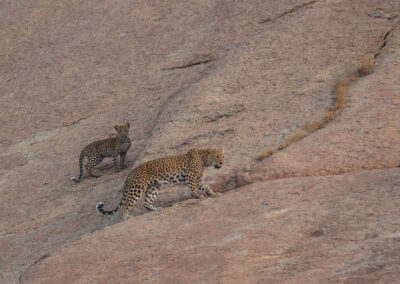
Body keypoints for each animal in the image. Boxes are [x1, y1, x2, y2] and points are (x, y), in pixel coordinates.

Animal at [95, 148, 223, 221]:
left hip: (154, 187)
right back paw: (127, 217)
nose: (222, 163)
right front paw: (197, 196)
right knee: (126, 204)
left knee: (146, 202)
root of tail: (129, 174)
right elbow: (192, 188)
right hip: (137, 188)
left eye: (223, 156)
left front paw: (213, 194)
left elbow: (206, 186)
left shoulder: (199, 179)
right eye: (217, 156)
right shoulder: (190, 175)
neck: (203, 159)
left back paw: (155, 209)